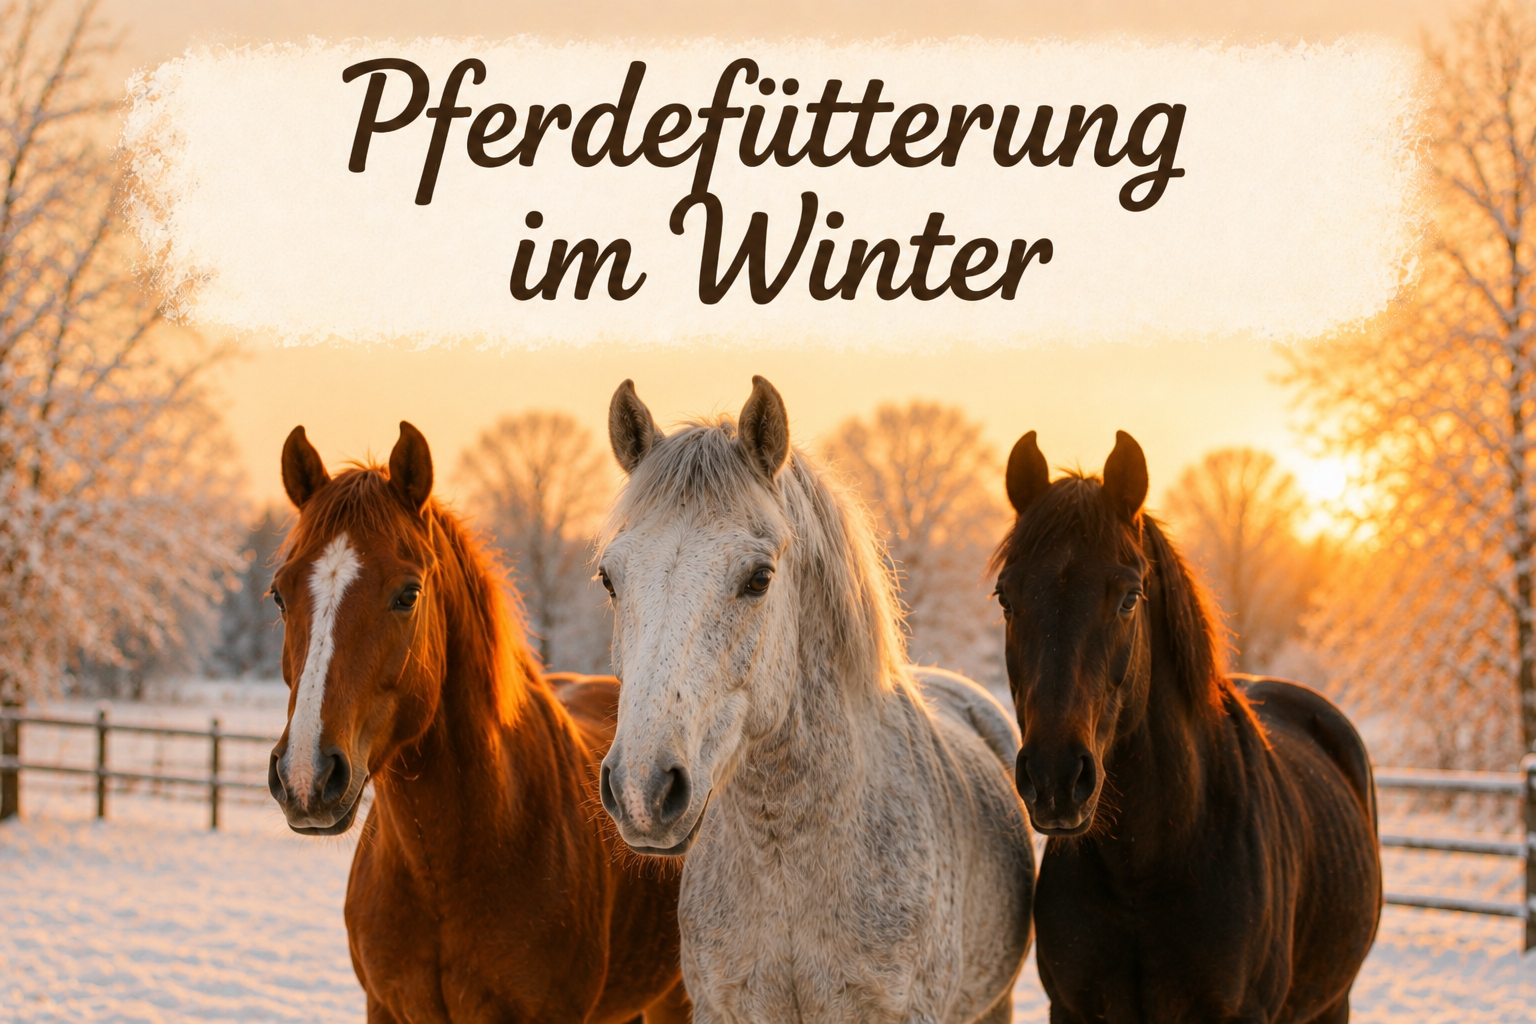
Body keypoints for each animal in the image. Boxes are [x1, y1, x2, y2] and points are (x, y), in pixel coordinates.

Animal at [990, 430, 1381, 1024]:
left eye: (1129, 597)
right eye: (1006, 598)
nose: (1055, 778)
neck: (1143, 874)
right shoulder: (1071, 1008)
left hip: (1332, 1003)